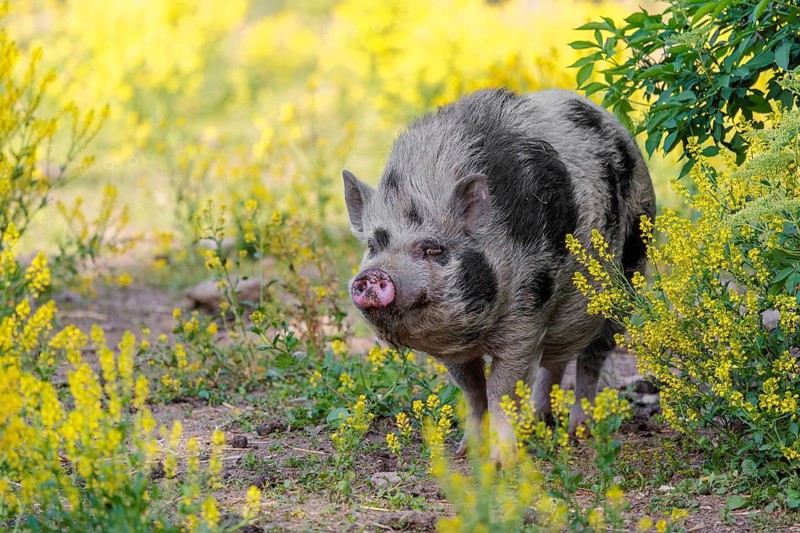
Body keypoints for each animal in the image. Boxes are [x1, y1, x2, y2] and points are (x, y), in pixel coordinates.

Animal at [343, 88, 655, 461]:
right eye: (374, 244)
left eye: (432, 249)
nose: (374, 275)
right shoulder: (455, 350)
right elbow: (473, 391)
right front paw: (465, 452)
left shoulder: (527, 315)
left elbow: (501, 390)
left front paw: (502, 462)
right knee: (556, 361)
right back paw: (537, 423)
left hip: (629, 278)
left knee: (591, 360)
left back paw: (580, 433)